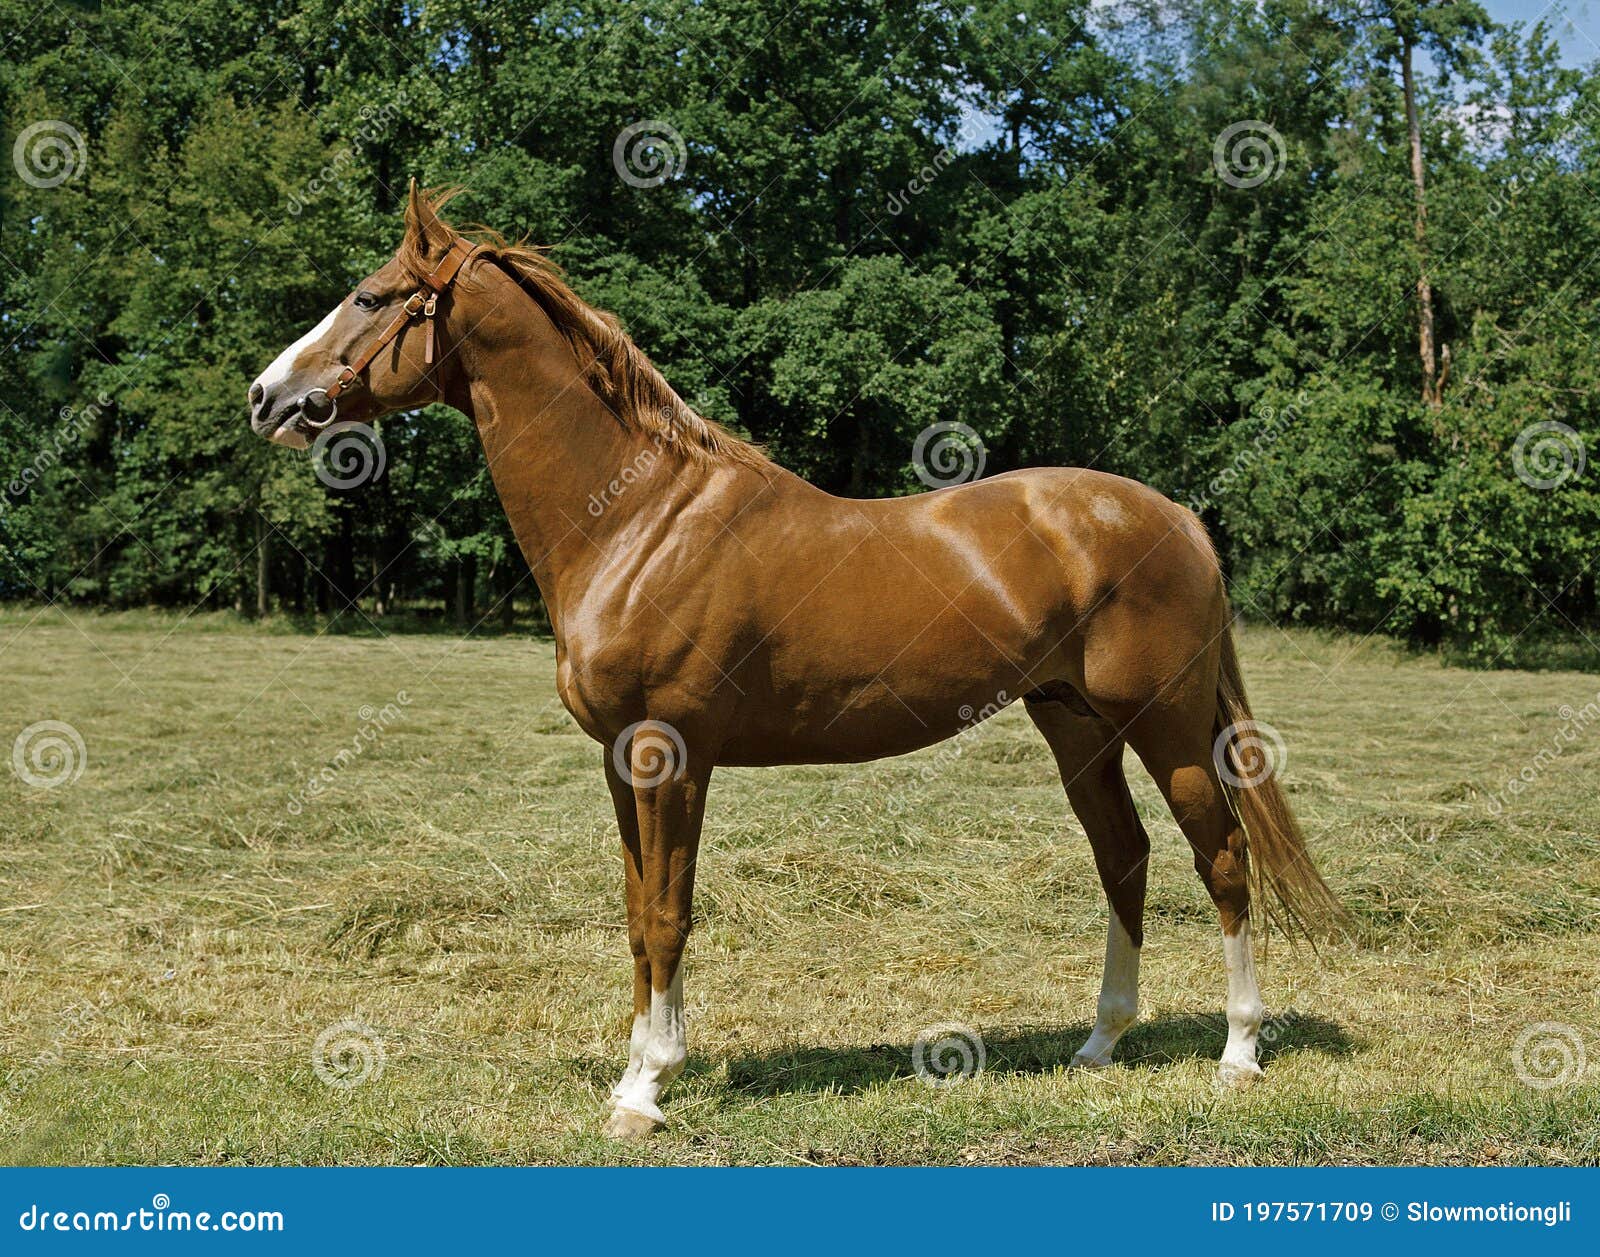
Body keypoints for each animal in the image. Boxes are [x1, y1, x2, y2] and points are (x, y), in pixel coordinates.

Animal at [248, 182, 1340, 1139]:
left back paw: (1238, 1053)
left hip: (1167, 728)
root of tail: (1178, 520)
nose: (266, 397)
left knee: (1221, 857)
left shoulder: (670, 754)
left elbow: (667, 914)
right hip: (1075, 724)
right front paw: (636, 1070)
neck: (637, 522)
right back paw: (1100, 1043)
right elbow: (638, 912)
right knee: (1125, 856)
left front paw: (648, 1090)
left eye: (374, 297)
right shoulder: (622, 761)